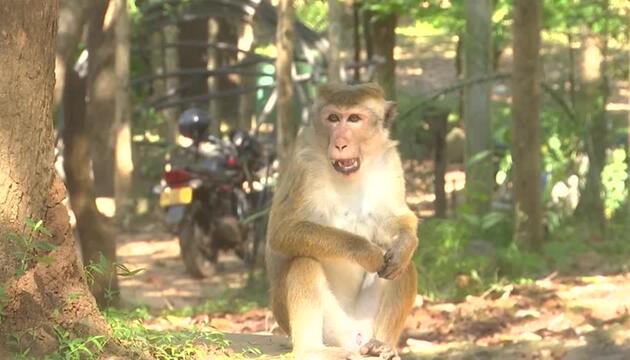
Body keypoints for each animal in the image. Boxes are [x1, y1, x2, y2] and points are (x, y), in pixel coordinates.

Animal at [266, 83, 420, 358]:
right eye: (334, 118)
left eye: (355, 119)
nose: (340, 144)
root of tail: (353, 340)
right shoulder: (305, 163)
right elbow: (283, 231)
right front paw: (367, 252)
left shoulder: (389, 160)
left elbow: (398, 217)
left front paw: (404, 244)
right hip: (331, 330)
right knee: (304, 262)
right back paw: (311, 349)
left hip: (366, 323)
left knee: (403, 268)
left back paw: (382, 344)